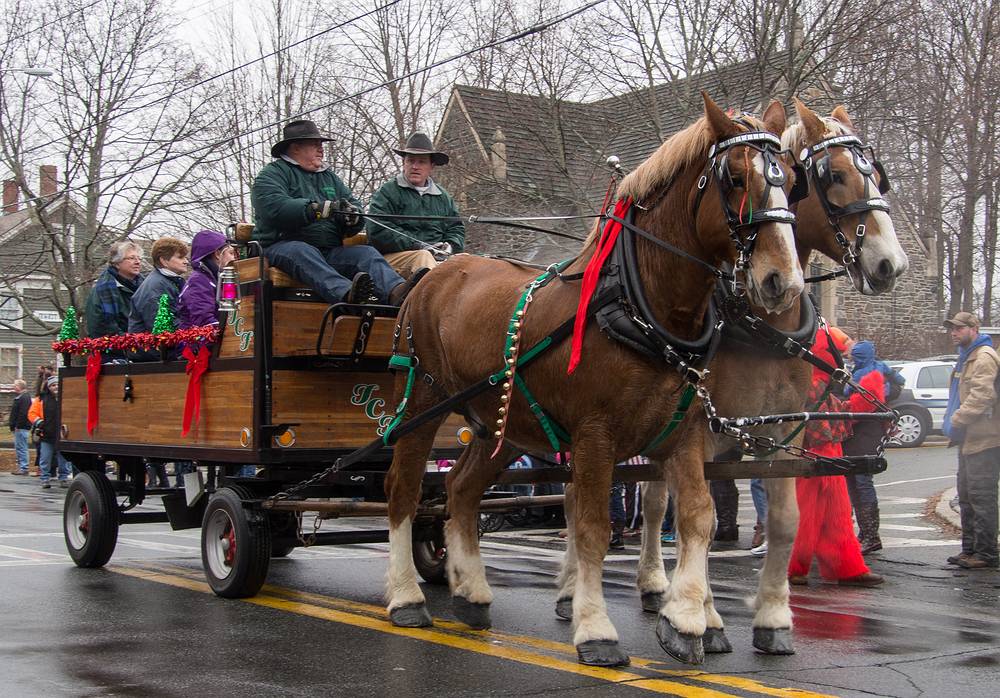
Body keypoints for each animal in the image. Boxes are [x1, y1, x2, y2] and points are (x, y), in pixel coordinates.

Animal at [384, 92, 804, 664]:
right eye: (735, 178)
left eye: (790, 177)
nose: (782, 281)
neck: (638, 305)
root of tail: (434, 272)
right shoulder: (595, 437)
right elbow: (592, 528)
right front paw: (595, 627)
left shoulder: (684, 432)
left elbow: (698, 515)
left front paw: (685, 619)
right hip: (422, 400)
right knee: (404, 488)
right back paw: (406, 597)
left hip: (498, 422)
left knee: (460, 489)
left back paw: (471, 591)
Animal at [624, 96, 916, 652]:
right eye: (834, 175)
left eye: (877, 175)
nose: (891, 264)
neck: (759, 323)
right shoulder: (700, 429)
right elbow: (699, 515)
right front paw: (698, 616)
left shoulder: (779, 428)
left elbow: (782, 519)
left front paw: (773, 617)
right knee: (634, 499)